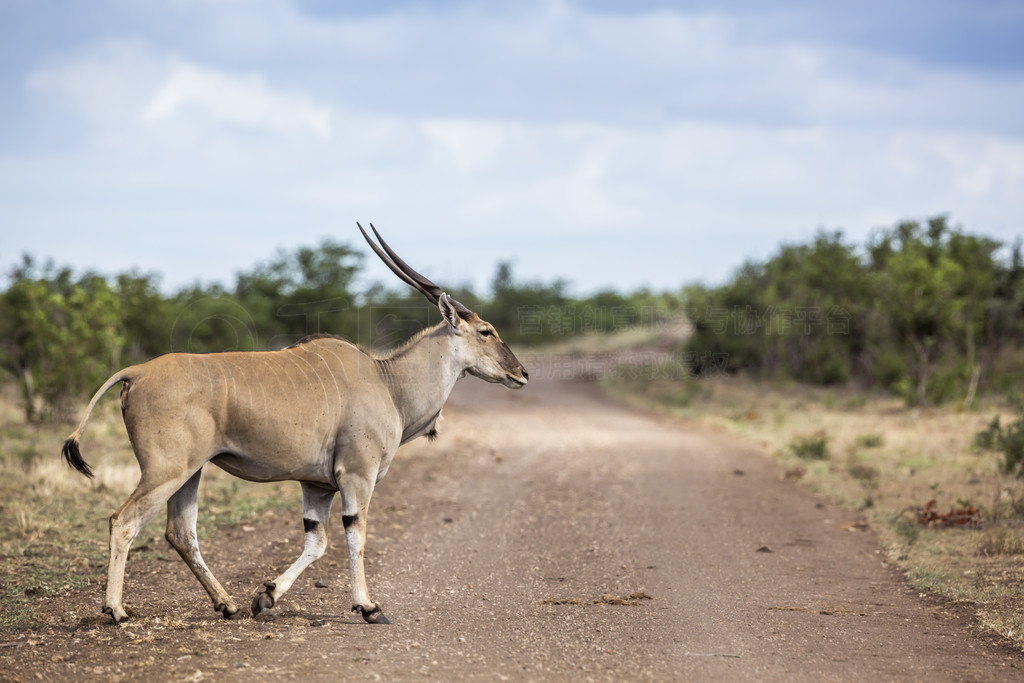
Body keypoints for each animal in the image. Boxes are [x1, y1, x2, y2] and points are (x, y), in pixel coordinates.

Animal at [58, 224, 528, 626]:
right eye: (486, 331)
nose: (521, 373)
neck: (387, 381)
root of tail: (135, 372)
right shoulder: (356, 477)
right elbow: (355, 537)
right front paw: (368, 607)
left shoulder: (317, 486)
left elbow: (316, 543)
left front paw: (264, 597)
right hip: (165, 471)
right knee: (124, 521)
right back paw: (116, 610)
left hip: (190, 473)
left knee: (181, 532)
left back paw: (226, 604)